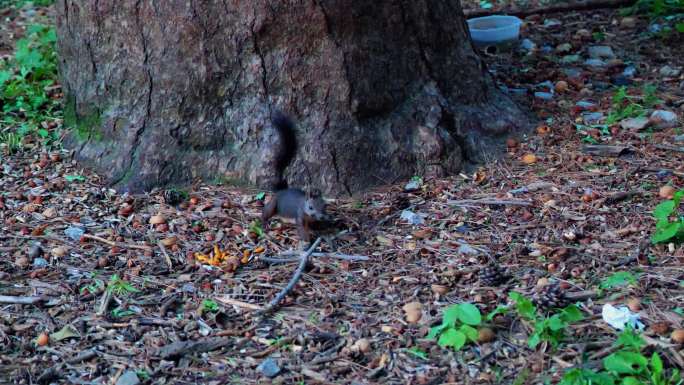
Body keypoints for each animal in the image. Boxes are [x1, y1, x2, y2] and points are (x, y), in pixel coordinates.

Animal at [260, 111, 332, 243]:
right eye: (310, 207)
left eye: (325, 205)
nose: (321, 216)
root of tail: (281, 190)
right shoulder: (300, 216)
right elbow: (302, 228)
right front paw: (306, 241)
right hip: (274, 204)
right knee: (265, 212)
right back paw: (263, 222)